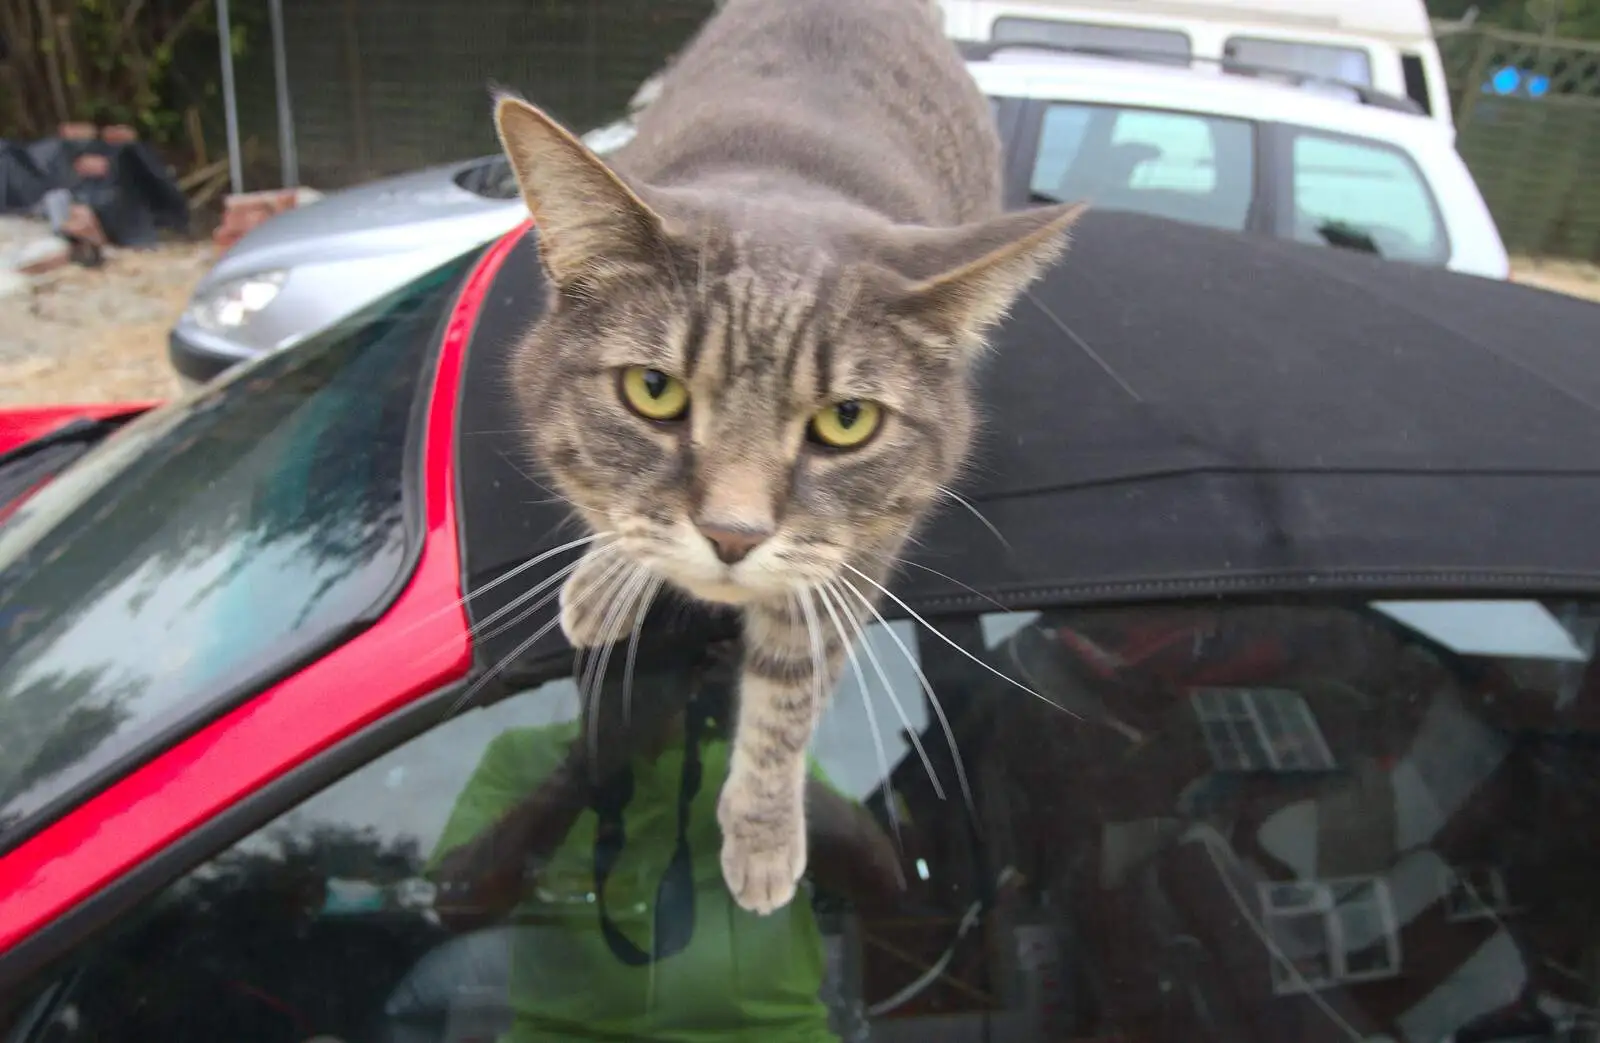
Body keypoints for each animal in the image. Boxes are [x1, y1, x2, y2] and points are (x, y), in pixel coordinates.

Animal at [492, 0, 1081, 915]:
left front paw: (762, 831)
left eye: (846, 420)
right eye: (654, 390)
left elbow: (787, 692)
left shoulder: (854, 554)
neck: (786, 177)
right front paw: (610, 575)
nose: (732, 535)